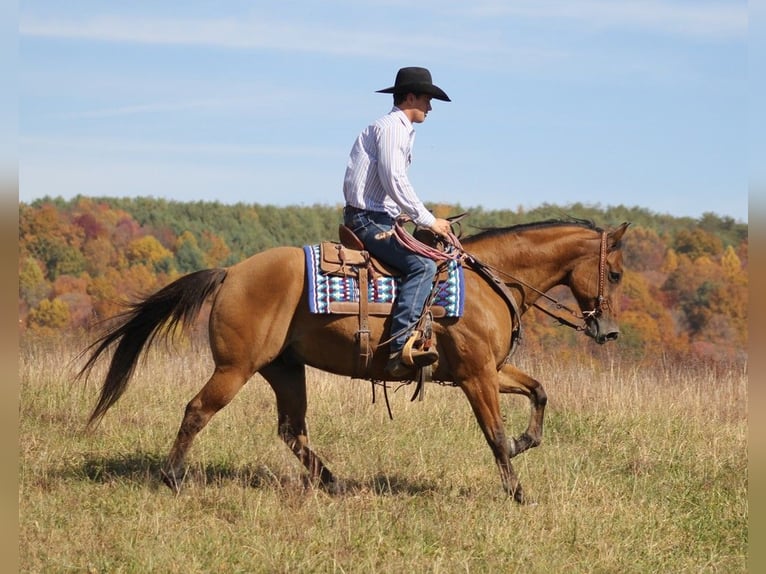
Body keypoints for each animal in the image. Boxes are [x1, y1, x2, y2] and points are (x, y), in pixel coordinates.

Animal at [78, 218, 632, 506]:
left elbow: (539, 392)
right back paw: (172, 478)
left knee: (291, 430)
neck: (485, 284)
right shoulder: (476, 376)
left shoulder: (489, 372)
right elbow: (494, 435)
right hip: (235, 368)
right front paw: (518, 492)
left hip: (285, 370)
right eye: (618, 273)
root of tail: (232, 271)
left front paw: (525, 442)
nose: (609, 331)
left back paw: (334, 482)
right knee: (198, 410)